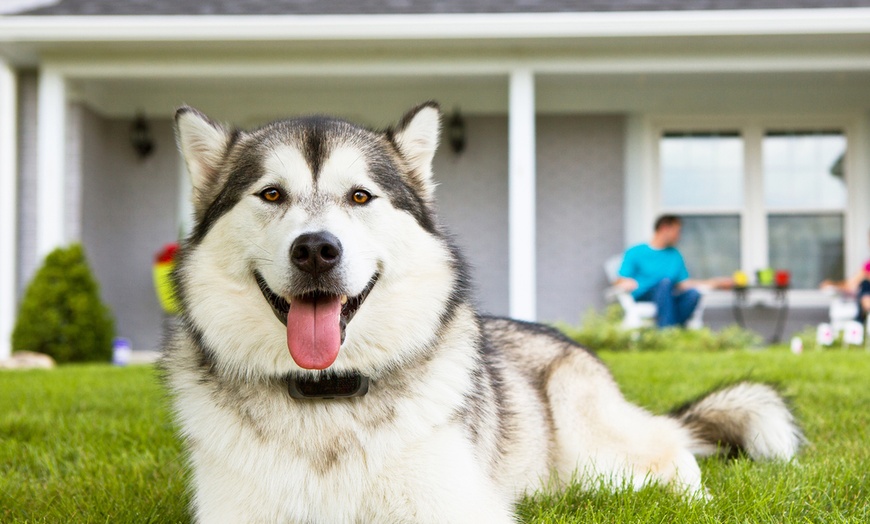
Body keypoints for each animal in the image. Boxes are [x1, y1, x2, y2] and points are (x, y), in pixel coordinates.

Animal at [162, 103, 804, 524]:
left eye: (360, 196)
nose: (317, 249)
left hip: (598, 456)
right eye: (271, 194)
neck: (328, 398)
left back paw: (692, 498)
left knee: (674, 452)